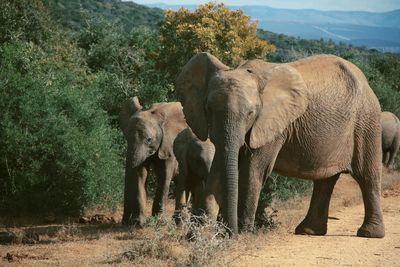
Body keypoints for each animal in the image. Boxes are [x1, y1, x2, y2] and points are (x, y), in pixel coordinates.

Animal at [119, 96, 188, 226]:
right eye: (126, 137)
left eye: (149, 139)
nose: (125, 221)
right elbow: (140, 173)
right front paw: (138, 223)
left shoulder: (169, 145)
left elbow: (164, 175)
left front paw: (160, 222)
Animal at [175, 52, 384, 239]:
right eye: (208, 109)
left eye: (251, 113)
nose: (229, 231)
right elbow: (218, 169)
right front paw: (198, 236)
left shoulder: (272, 126)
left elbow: (253, 171)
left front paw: (242, 233)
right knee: (325, 180)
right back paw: (308, 231)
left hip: (367, 121)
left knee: (367, 175)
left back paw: (370, 234)